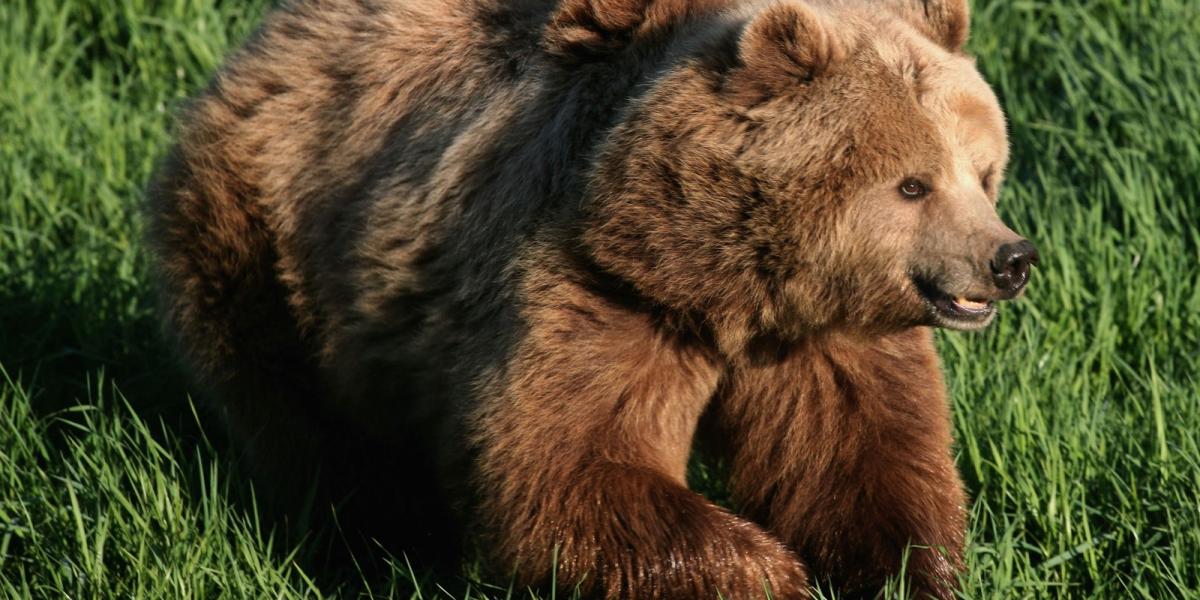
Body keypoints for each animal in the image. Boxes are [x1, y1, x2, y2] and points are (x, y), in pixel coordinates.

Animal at [145, 0, 1036, 595]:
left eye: (984, 170)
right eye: (913, 183)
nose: (1010, 259)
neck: (722, 281)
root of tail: (265, 43)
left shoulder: (823, 339)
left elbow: (858, 461)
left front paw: (902, 572)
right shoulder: (593, 287)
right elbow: (567, 465)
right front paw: (766, 572)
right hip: (266, 245)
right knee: (313, 426)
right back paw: (371, 541)